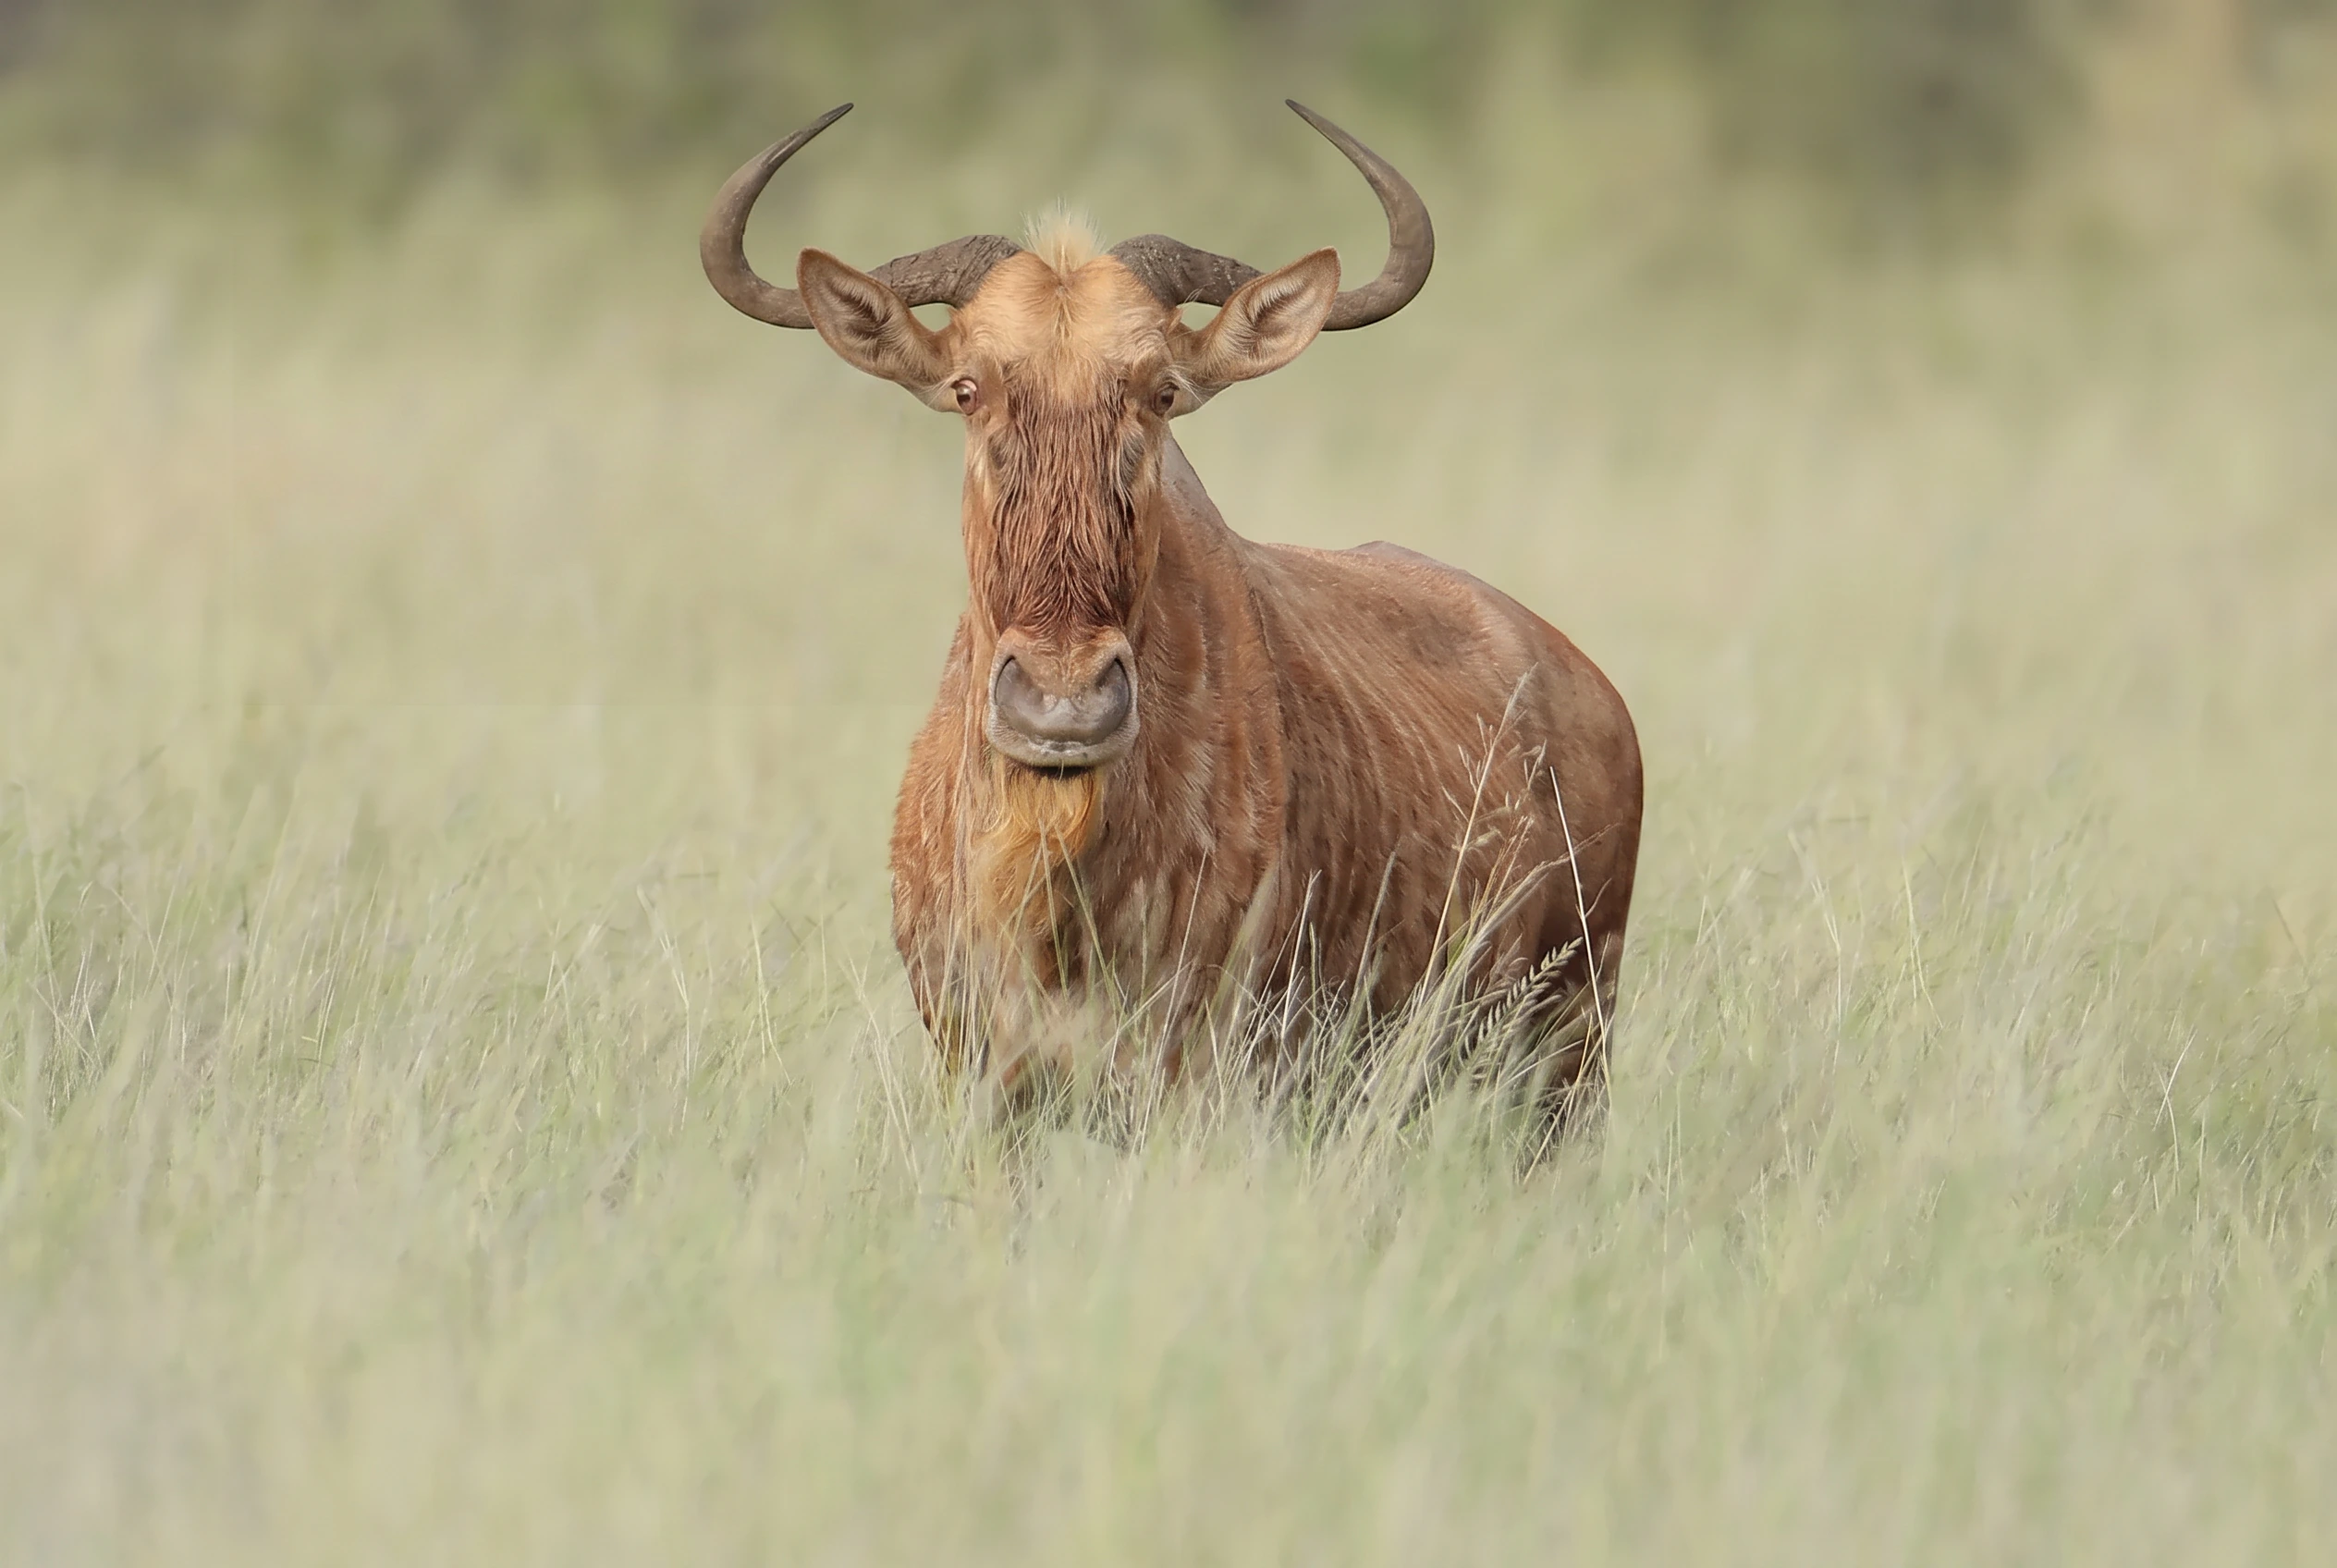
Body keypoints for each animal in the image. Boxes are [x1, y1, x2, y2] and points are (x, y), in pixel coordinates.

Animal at [702, 102, 1642, 1130]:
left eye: (1159, 390)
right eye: (968, 387)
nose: (1063, 705)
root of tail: (1585, 683)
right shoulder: (984, 1078)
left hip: (1566, 1057)